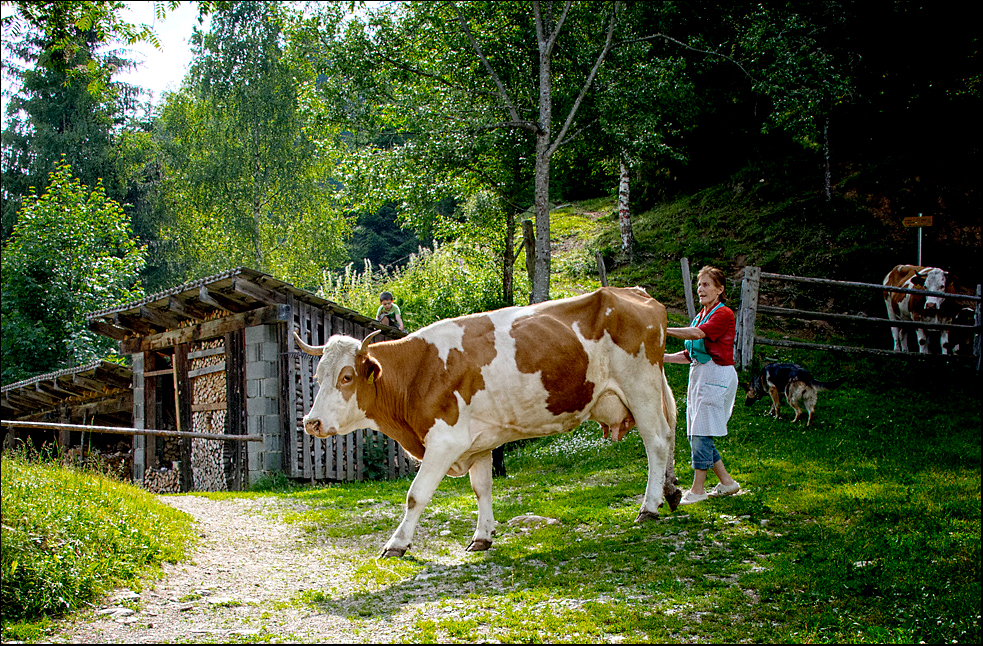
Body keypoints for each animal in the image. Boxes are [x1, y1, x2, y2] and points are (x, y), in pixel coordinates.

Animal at [296, 288, 680, 556]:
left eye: (346, 377)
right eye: (316, 375)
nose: (311, 422)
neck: (418, 371)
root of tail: (634, 293)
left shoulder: (444, 442)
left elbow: (415, 495)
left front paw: (397, 544)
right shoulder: (478, 442)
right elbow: (482, 489)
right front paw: (482, 537)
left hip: (640, 385)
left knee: (657, 440)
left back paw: (649, 507)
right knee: (669, 432)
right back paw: (671, 492)